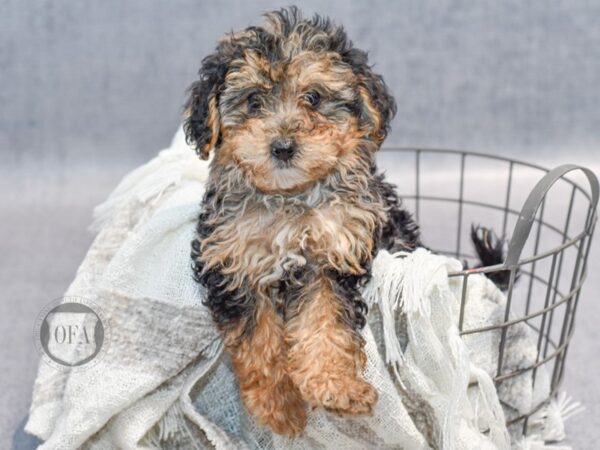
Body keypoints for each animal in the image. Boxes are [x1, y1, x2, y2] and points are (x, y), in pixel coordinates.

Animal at [185, 7, 420, 436]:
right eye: (254, 101)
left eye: (313, 98)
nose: (282, 147)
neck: (287, 201)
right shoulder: (234, 263)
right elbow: (258, 341)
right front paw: (281, 406)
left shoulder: (330, 255)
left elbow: (325, 322)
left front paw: (337, 386)